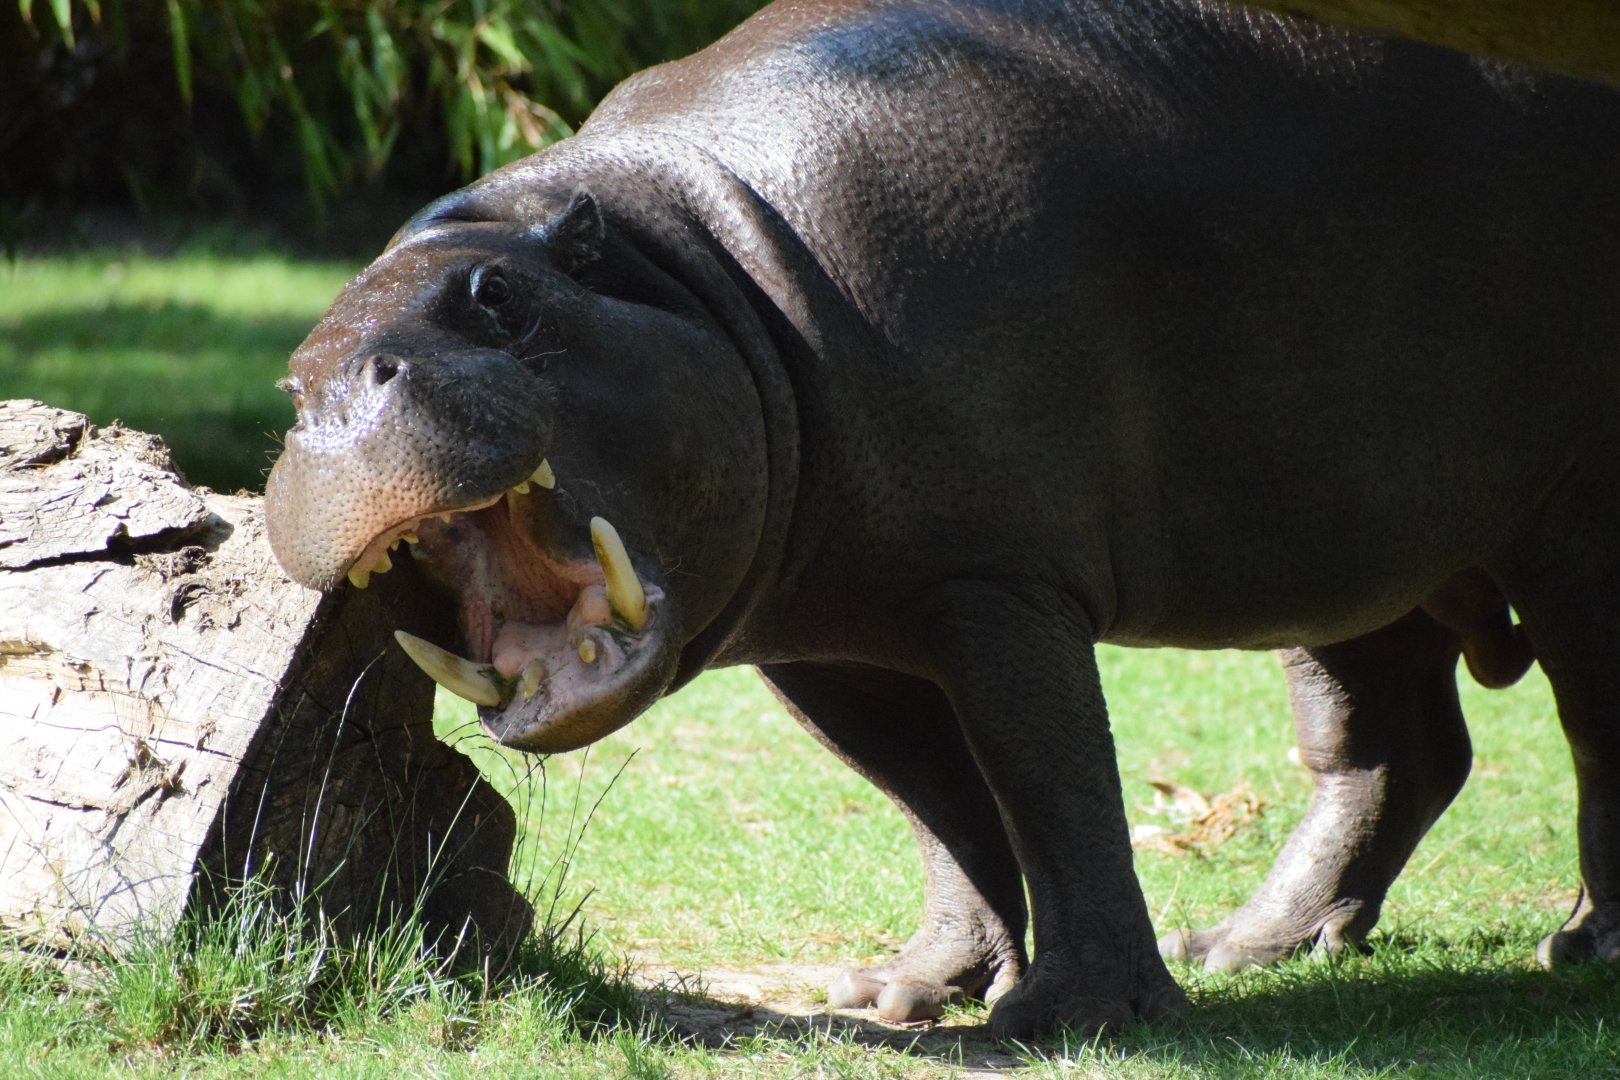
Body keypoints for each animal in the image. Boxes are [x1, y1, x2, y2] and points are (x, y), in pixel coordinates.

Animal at [264, 0, 1620, 1038]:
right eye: (293, 378)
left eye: (498, 297)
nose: (331, 400)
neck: (692, 263)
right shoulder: (825, 640)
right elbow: (936, 805)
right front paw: (899, 993)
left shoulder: (995, 582)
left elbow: (1050, 779)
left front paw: (1067, 1019)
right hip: (1336, 536)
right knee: (1390, 742)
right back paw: (1248, 944)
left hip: (1566, 518)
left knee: (1591, 718)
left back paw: (1585, 951)